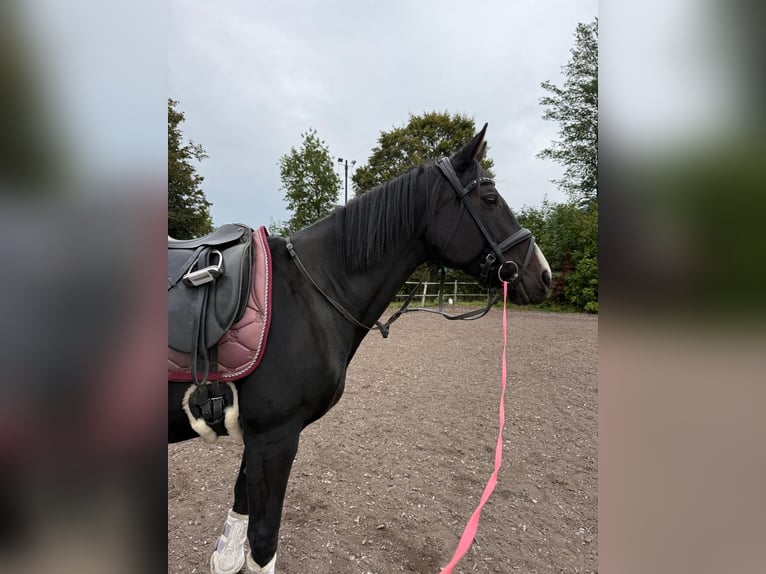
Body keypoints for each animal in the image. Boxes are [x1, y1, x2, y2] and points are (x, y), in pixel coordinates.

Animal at [168, 125, 552, 573]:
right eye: (489, 199)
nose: (543, 275)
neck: (308, 294)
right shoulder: (275, 437)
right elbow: (263, 542)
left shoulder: (258, 433)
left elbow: (242, 500)